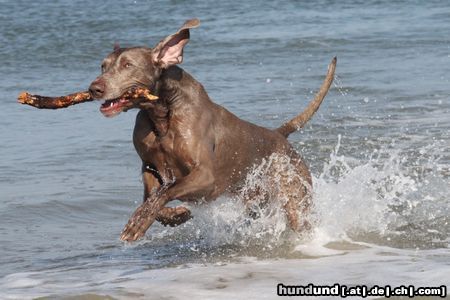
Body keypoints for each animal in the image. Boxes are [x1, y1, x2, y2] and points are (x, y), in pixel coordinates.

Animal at [87, 18, 334, 241]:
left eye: (127, 65)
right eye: (103, 66)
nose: (94, 88)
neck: (162, 114)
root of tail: (278, 134)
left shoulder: (206, 177)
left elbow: (166, 191)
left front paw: (139, 221)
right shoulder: (149, 165)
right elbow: (153, 196)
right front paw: (174, 214)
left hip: (294, 194)